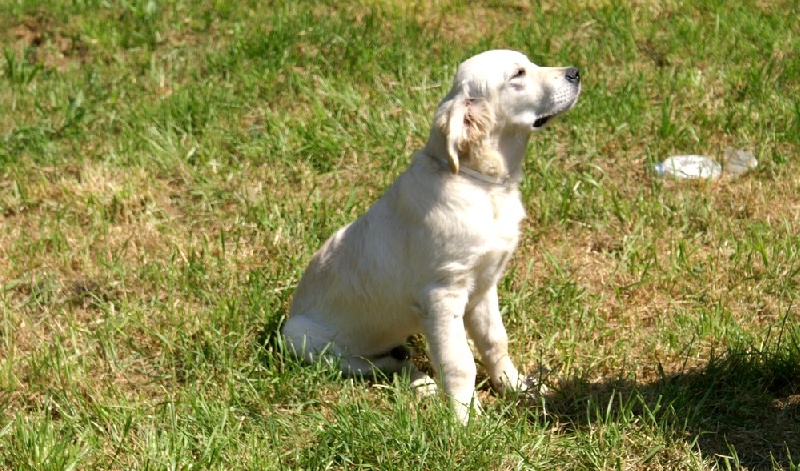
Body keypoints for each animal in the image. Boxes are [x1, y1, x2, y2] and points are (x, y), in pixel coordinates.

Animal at [282, 48, 580, 424]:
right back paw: (419, 381)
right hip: (298, 337)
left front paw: (515, 386)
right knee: (368, 364)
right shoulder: (441, 295)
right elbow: (459, 362)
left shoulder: (484, 285)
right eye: (518, 74)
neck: (482, 185)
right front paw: (465, 420)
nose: (576, 73)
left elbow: (495, 339)